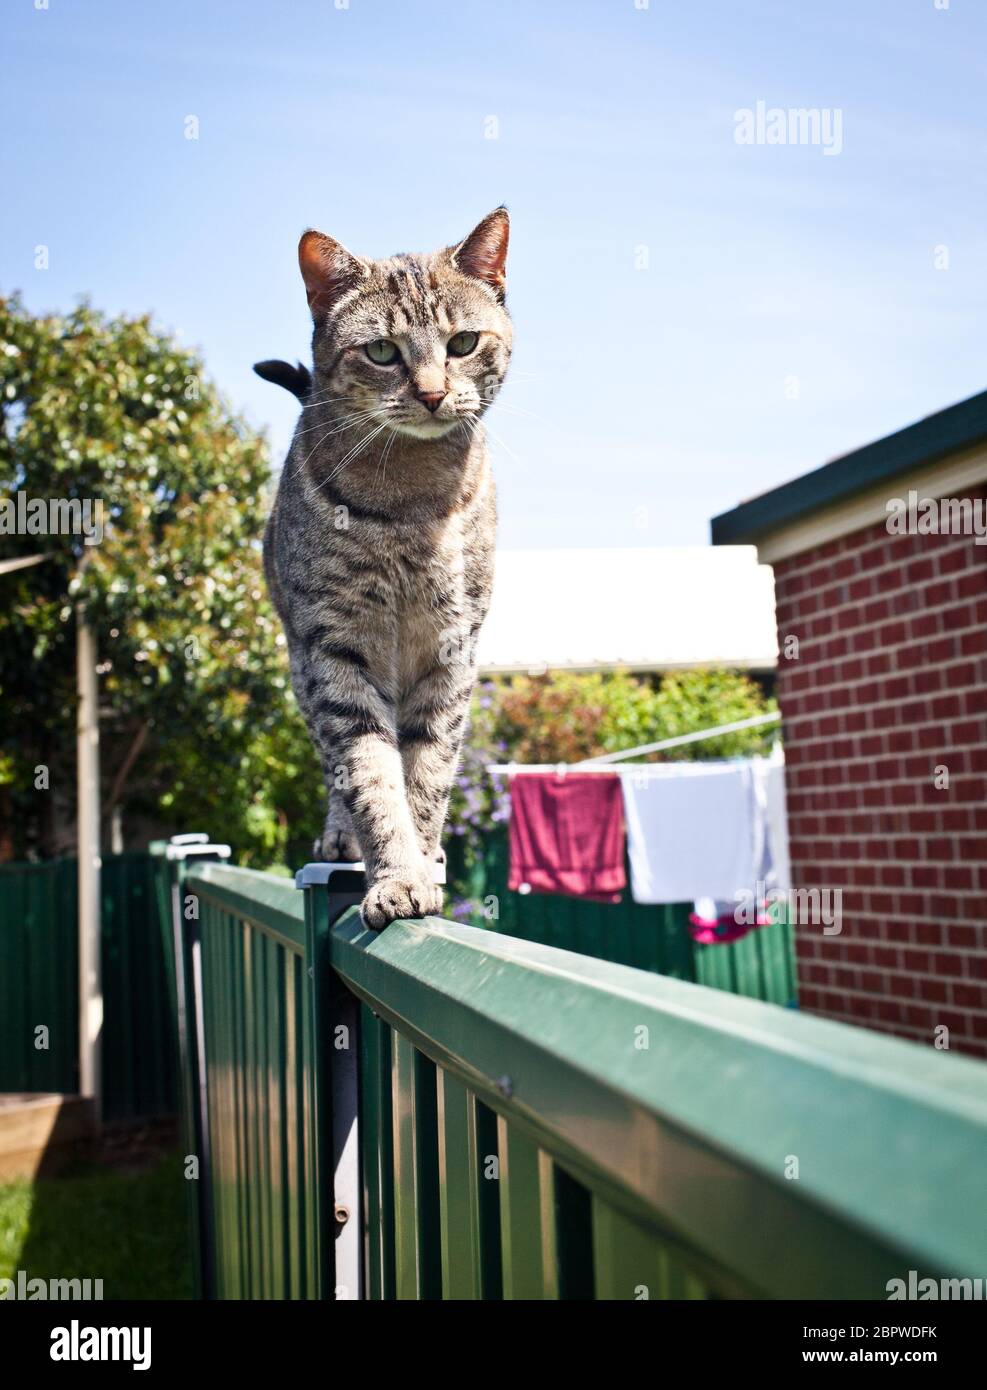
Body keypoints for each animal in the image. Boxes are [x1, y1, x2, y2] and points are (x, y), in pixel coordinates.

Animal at [262, 208, 514, 922]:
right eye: (382, 353)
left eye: (463, 343)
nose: (431, 394)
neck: (410, 497)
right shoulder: (335, 646)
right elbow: (371, 773)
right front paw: (395, 873)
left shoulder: (452, 646)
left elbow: (426, 772)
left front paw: (420, 864)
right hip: (301, 668)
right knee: (333, 767)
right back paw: (341, 838)